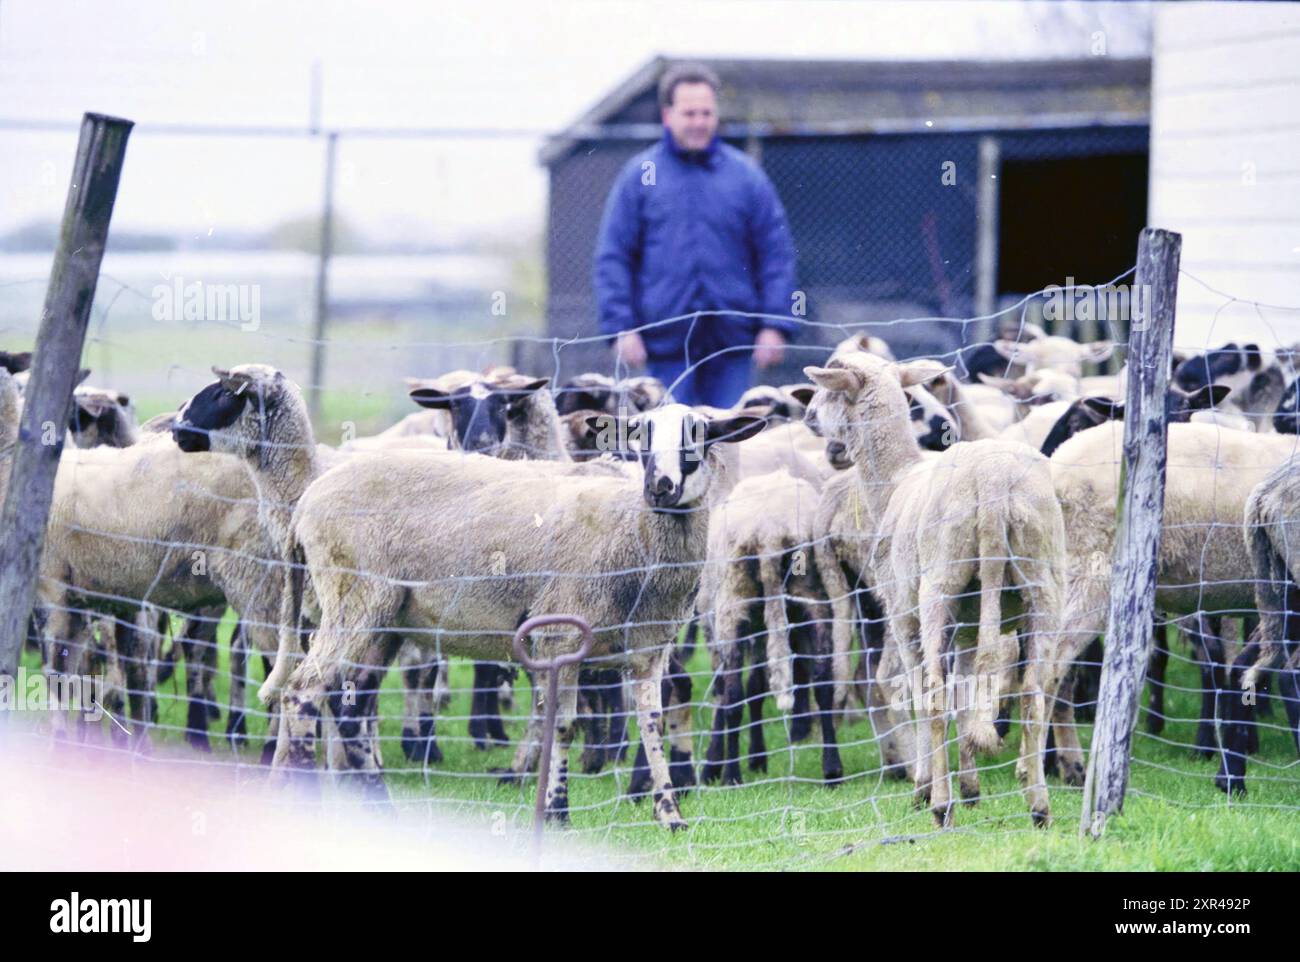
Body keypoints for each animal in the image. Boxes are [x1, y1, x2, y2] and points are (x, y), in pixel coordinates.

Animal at [270, 404, 768, 827]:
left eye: (699, 437)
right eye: (638, 438)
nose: (660, 486)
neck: (632, 531)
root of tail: (306, 503)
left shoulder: (650, 647)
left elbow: (653, 725)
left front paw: (669, 814)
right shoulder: (561, 636)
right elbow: (563, 725)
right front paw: (557, 813)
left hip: (385, 618)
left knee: (348, 705)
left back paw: (379, 808)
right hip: (354, 597)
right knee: (302, 691)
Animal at [803, 351, 1068, 826]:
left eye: (831, 390)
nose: (809, 416)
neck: (892, 479)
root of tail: (993, 486)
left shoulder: (902, 613)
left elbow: (915, 690)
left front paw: (928, 786)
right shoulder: (967, 629)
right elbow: (966, 696)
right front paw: (971, 788)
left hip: (937, 589)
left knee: (932, 696)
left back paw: (939, 804)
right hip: (1044, 583)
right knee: (1034, 694)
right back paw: (1038, 806)